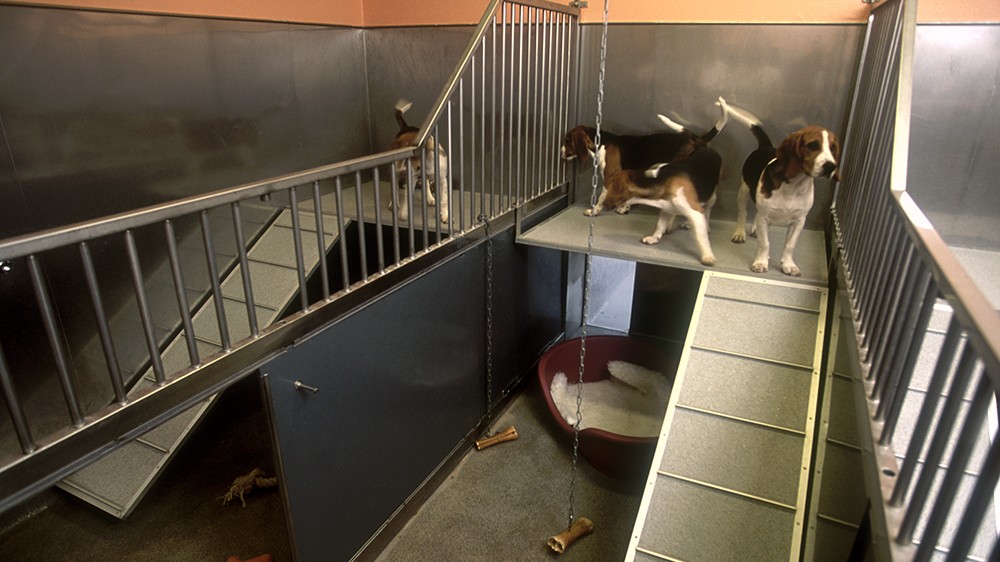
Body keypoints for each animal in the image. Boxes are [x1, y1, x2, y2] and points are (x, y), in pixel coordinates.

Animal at [564, 96, 728, 214]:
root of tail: (696, 139)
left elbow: (601, 196)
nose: (561, 151)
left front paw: (595, 210)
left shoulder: (610, 177)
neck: (601, 142)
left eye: (567, 140)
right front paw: (625, 207)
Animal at [592, 144, 720, 266]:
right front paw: (654, 238)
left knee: (707, 210)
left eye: (610, 186)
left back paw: (703, 226)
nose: (602, 204)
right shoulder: (666, 208)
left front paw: (707, 256)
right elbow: (660, 225)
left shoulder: (695, 211)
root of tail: (709, 149)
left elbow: (700, 236)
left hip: (711, 197)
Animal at [732, 104, 840, 276]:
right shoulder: (764, 217)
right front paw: (761, 262)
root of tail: (766, 146)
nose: (831, 166)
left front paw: (789, 265)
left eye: (833, 148)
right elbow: (765, 243)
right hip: (743, 191)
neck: (794, 185)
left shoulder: (799, 221)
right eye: (813, 145)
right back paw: (739, 233)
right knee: (743, 213)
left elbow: (790, 245)